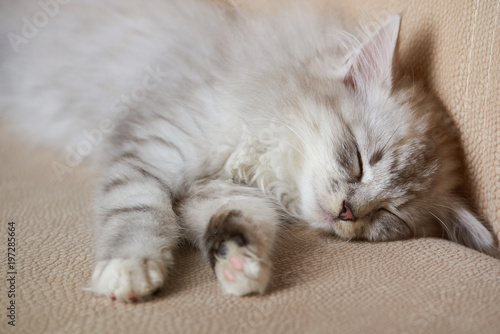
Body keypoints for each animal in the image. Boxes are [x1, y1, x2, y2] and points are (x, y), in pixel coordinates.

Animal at [0, 0, 496, 302]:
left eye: (389, 215)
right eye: (358, 160)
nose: (347, 213)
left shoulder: (213, 189)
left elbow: (235, 220)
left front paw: (241, 265)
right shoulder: (152, 150)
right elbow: (138, 211)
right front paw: (130, 268)